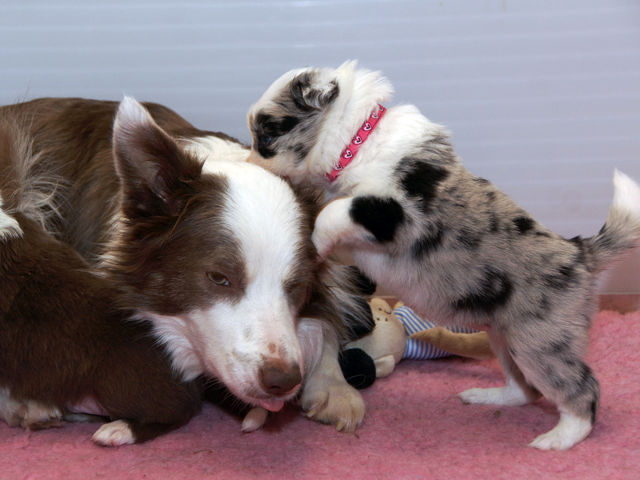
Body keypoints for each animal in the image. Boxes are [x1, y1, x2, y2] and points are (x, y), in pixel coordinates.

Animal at [246, 61, 640, 450]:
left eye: (266, 137)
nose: (248, 163)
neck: (356, 141)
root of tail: (581, 252)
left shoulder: (392, 212)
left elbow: (335, 211)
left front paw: (314, 241)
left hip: (540, 342)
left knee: (582, 389)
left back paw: (558, 439)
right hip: (505, 338)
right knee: (525, 389)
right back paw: (488, 396)